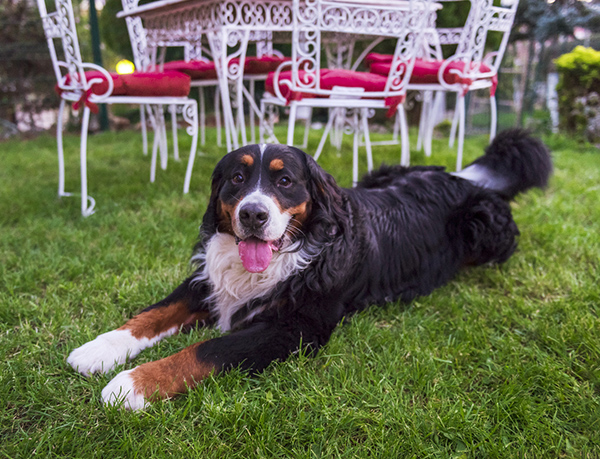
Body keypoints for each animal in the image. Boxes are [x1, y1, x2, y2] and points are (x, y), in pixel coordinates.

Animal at [68, 128, 552, 410]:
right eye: (237, 179)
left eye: (285, 181)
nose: (253, 215)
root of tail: (462, 179)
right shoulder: (207, 283)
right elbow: (152, 314)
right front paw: (97, 350)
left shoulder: (295, 327)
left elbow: (205, 351)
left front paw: (131, 385)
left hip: (487, 227)